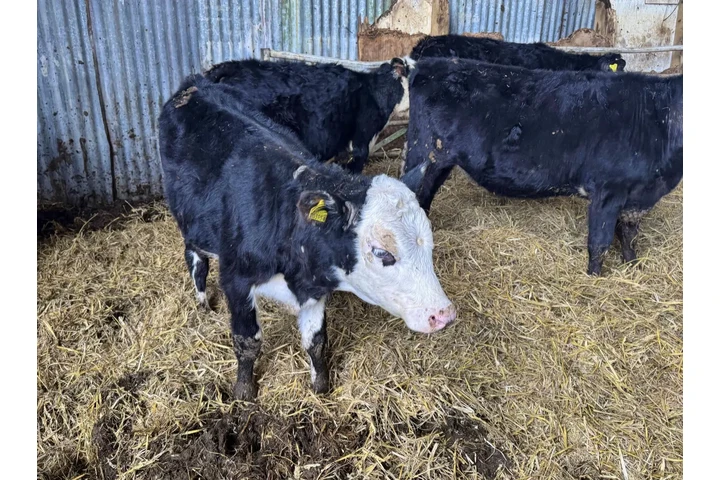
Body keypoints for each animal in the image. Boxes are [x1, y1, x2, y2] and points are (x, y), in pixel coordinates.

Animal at [158, 74, 455, 400]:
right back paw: (201, 301)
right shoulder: (236, 281)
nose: (444, 314)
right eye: (382, 253)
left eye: (429, 243)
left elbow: (316, 341)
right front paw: (244, 393)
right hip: (188, 222)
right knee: (195, 259)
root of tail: (194, 84)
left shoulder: (316, 288)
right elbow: (248, 342)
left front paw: (320, 386)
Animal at [400, 58, 683, 276]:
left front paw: (633, 266)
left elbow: (629, 235)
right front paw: (595, 278)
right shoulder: (607, 191)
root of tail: (426, 65)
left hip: (440, 162)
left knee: (425, 196)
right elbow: (599, 243)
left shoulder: (638, 197)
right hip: (421, 151)